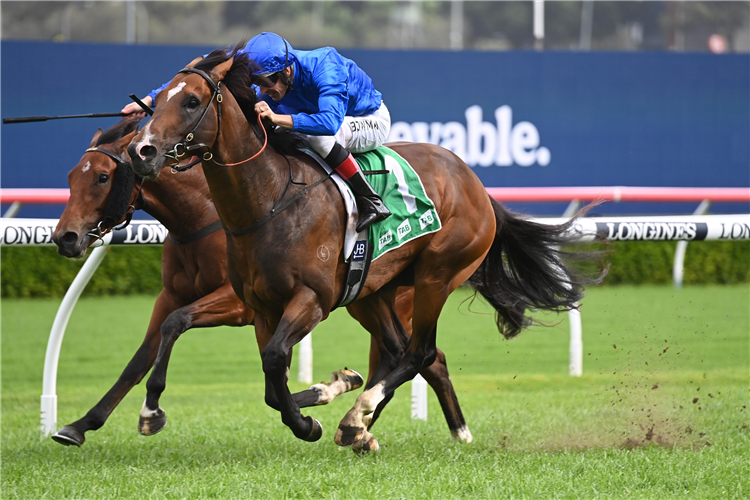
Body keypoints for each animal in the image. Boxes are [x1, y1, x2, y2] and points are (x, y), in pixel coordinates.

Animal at [51, 116, 472, 449]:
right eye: (71, 176)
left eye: (103, 177)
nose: (65, 237)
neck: (205, 213)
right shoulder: (172, 295)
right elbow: (140, 359)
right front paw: (80, 424)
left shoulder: (238, 304)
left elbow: (180, 324)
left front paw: (151, 411)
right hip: (367, 297)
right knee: (408, 354)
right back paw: (383, 426)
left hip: (407, 291)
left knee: (417, 355)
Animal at [127, 44, 603, 451]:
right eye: (157, 100)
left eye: (191, 102)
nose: (141, 150)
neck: (270, 200)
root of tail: (475, 183)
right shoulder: (262, 308)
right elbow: (269, 383)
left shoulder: (312, 299)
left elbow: (276, 361)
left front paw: (313, 418)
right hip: (371, 291)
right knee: (399, 350)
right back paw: (365, 422)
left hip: (437, 275)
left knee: (419, 351)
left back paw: (360, 418)